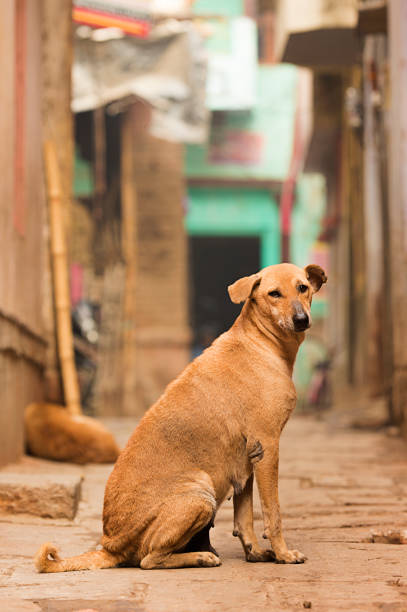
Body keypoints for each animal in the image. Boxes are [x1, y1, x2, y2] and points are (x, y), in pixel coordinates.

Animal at [35, 264, 328, 572]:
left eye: (303, 288)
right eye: (274, 293)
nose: (301, 319)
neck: (260, 343)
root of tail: (109, 546)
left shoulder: (248, 460)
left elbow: (244, 518)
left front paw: (256, 553)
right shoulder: (268, 447)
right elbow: (274, 514)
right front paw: (284, 554)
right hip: (200, 492)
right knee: (150, 559)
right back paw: (200, 556)